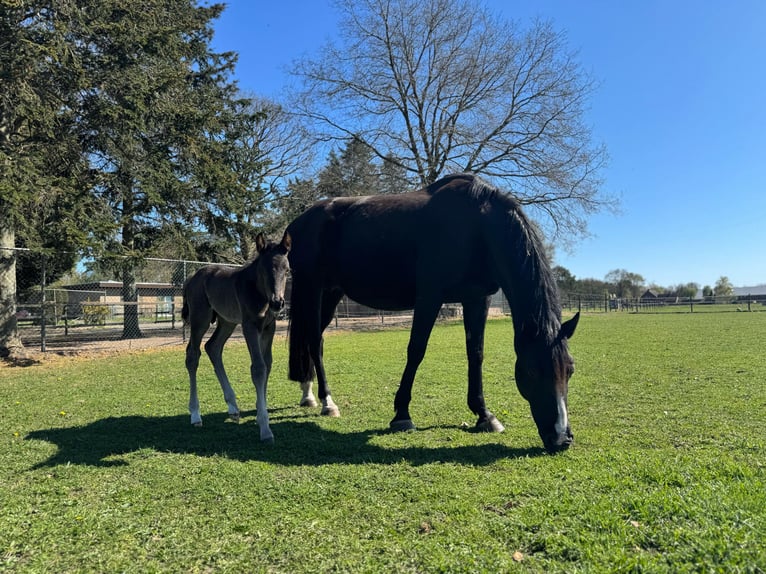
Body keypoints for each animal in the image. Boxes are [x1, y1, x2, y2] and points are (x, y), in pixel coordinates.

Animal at [181, 231, 291, 443]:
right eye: (264, 270)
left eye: (287, 270)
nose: (278, 303)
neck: (259, 292)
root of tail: (191, 279)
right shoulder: (249, 326)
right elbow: (258, 368)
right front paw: (265, 428)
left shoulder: (269, 327)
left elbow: (267, 364)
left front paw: (260, 415)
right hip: (201, 318)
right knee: (193, 355)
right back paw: (195, 414)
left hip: (226, 321)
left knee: (213, 347)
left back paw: (233, 408)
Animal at [286, 173, 579, 453]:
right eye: (531, 371)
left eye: (571, 369)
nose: (561, 438)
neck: (477, 227)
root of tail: (298, 223)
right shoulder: (429, 296)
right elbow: (416, 350)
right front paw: (402, 415)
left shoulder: (477, 299)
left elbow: (476, 354)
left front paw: (484, 415)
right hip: (311, 290)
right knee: (313, 341)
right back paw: (327, 401)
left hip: (331, 293)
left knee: (315, 342)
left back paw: (308, 395)